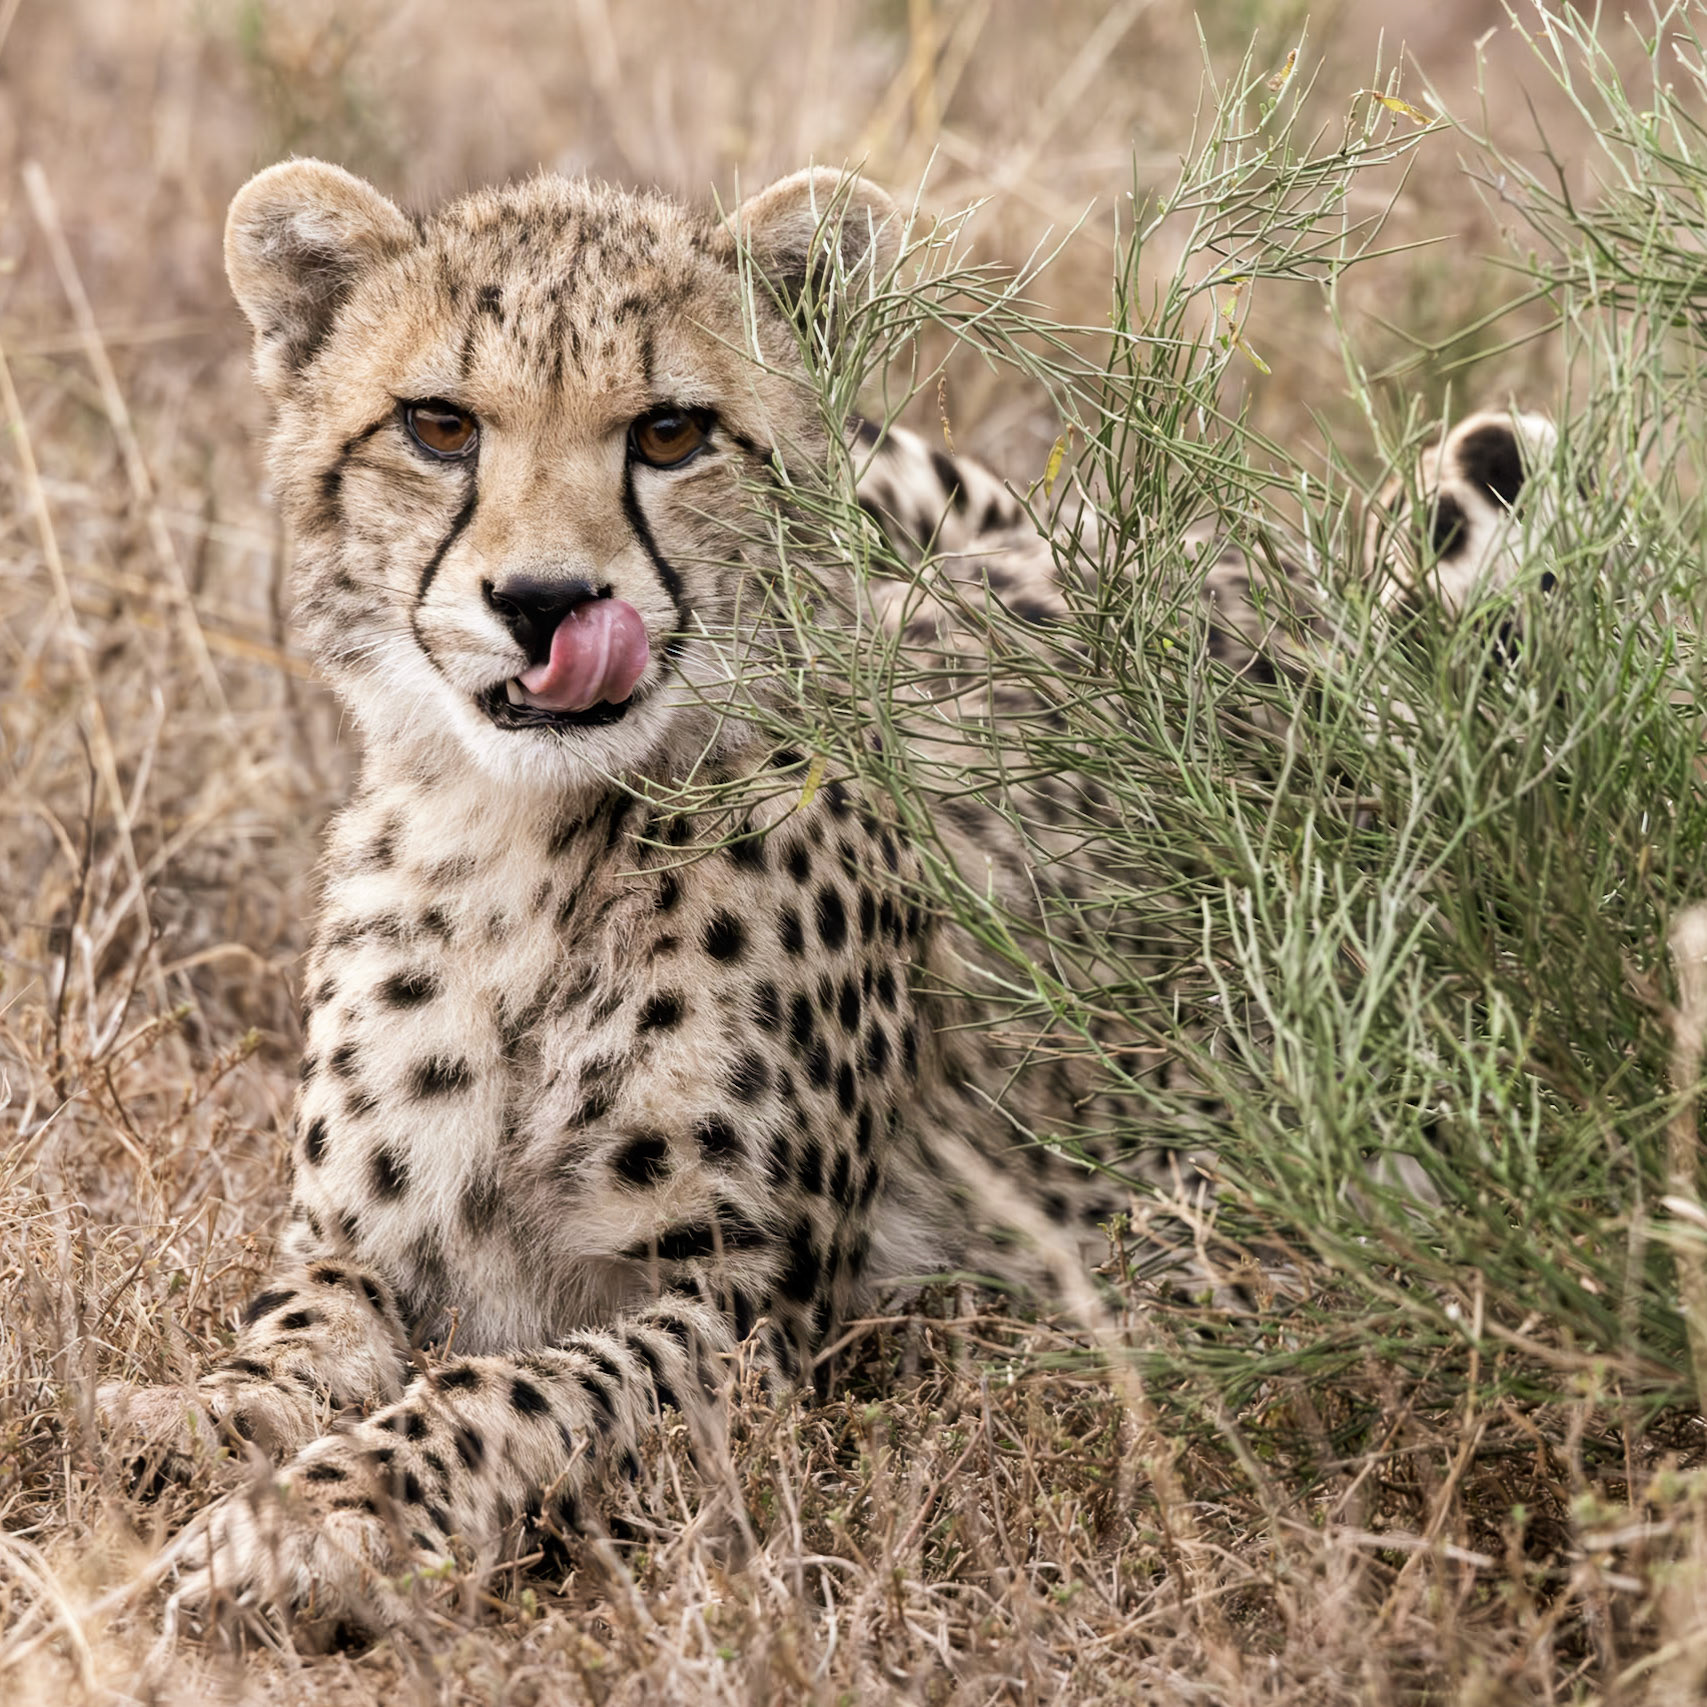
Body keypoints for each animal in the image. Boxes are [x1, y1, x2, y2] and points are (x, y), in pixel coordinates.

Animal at [101, 155, 1555, 1644]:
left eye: (670, 434)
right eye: (438, 426)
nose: (548, 602)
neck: (533, 842)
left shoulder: (755, 1310)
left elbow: (509, 1392)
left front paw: (315, 1520)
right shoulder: (351, 1245)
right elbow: (282, 1341)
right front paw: (190, 1422)